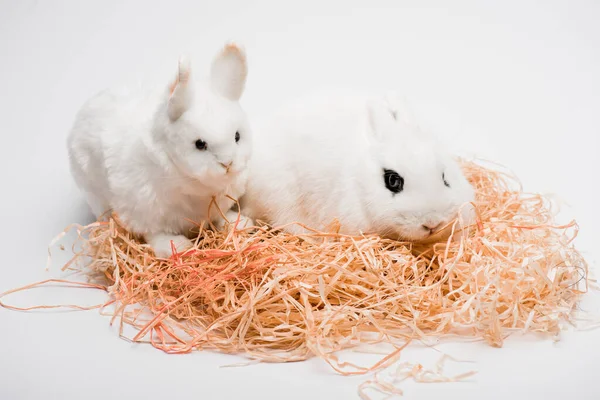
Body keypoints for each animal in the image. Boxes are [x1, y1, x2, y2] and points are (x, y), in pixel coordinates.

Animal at [68, 43, 253, 256]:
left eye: (237, 136)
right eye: (199, 144)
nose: (227, 163)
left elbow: (219, 216)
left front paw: (240, 223)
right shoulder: (143, 211)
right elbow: (154, 234)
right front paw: (177, 246)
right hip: (95, 194)